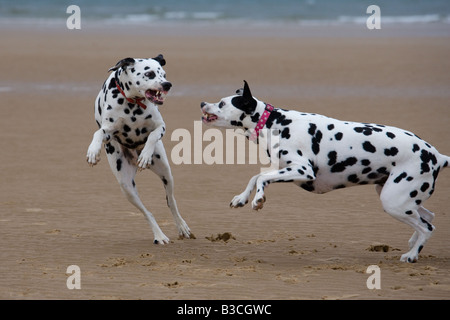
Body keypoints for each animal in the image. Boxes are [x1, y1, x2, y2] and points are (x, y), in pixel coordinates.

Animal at [86, 55, 192, 245]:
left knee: (171, 201)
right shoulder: (108, 130)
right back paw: (159, 235)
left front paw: (145, 156)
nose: (167, 84)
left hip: (166, 172)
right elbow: (98, 132)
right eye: (149, 74)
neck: (132, 104)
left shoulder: (160, 126)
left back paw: (181, 226)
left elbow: (152, 136)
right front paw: (93, 151)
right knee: (147, 212)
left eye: (164, 74)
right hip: (127, 187)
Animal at [202, 80, 448, 262]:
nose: (203, 102)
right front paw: (241, 198)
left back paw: (412, 254)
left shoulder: (302, 170)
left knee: (428, 226)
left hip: (393, 201)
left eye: (222, 103)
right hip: (398, 197)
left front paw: (258, 199)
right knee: (428, 216)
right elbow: (255, 176)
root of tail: (437, 155)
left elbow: (261, 177)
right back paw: (413, 244)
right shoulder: (285, 170)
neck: (276, 122)